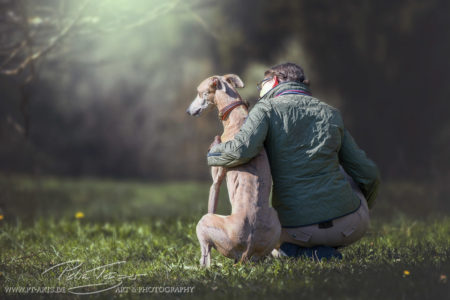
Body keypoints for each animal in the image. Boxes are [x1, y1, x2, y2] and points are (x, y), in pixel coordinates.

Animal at [186, 75, 282, 268]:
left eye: (199, 92)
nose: (188, 111)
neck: (236, 117)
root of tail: (247, 252)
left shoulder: (216, 180)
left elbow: (212, 197)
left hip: (204, 222)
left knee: (205, 260)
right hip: (275, 222)